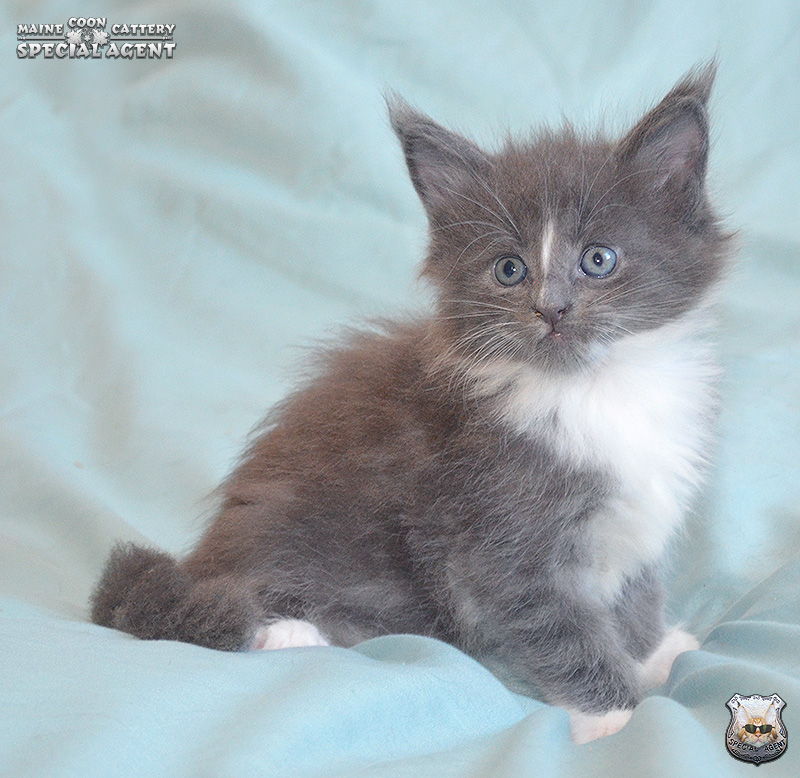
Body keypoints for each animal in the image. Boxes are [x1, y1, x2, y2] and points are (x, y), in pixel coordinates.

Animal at [90, 62, 732, 744]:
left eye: (599, 260)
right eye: (509, 269)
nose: (551, 309)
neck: (591, 389)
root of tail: (205, 555)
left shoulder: (638, 509)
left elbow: (636, 591)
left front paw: (651, 652)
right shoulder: (500, 539)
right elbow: (564, 632)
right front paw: (614, 717)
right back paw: (288, 633)